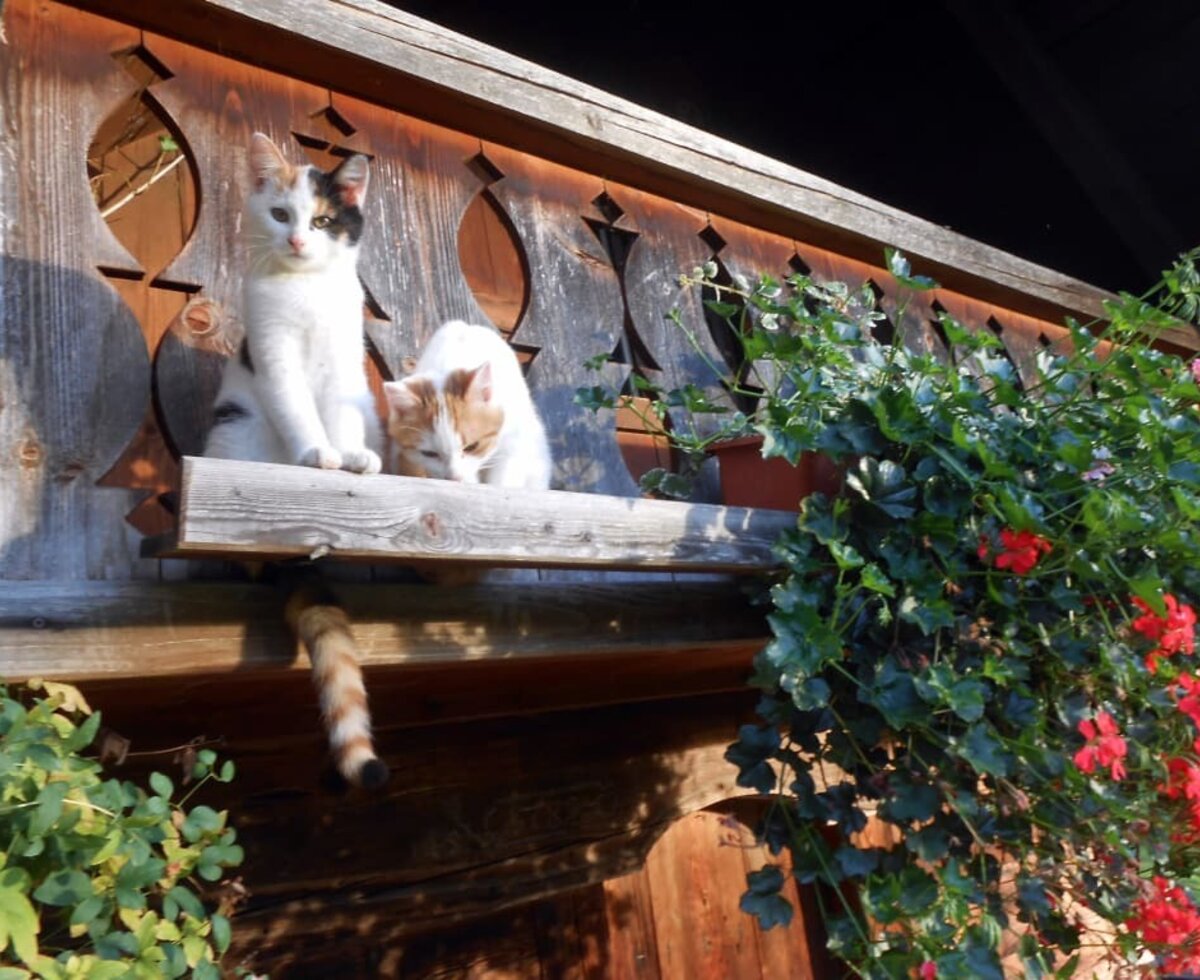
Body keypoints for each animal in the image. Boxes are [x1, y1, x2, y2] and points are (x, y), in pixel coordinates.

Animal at [204, 131, 386, 786]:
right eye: (281, 214)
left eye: (325, 220)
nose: (299, 241)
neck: (307, 290)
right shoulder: (275, 353)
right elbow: (300, 412)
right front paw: (316, 455)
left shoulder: (343, 358)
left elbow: (339, 412)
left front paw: (350, 456)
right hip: (234, 430)